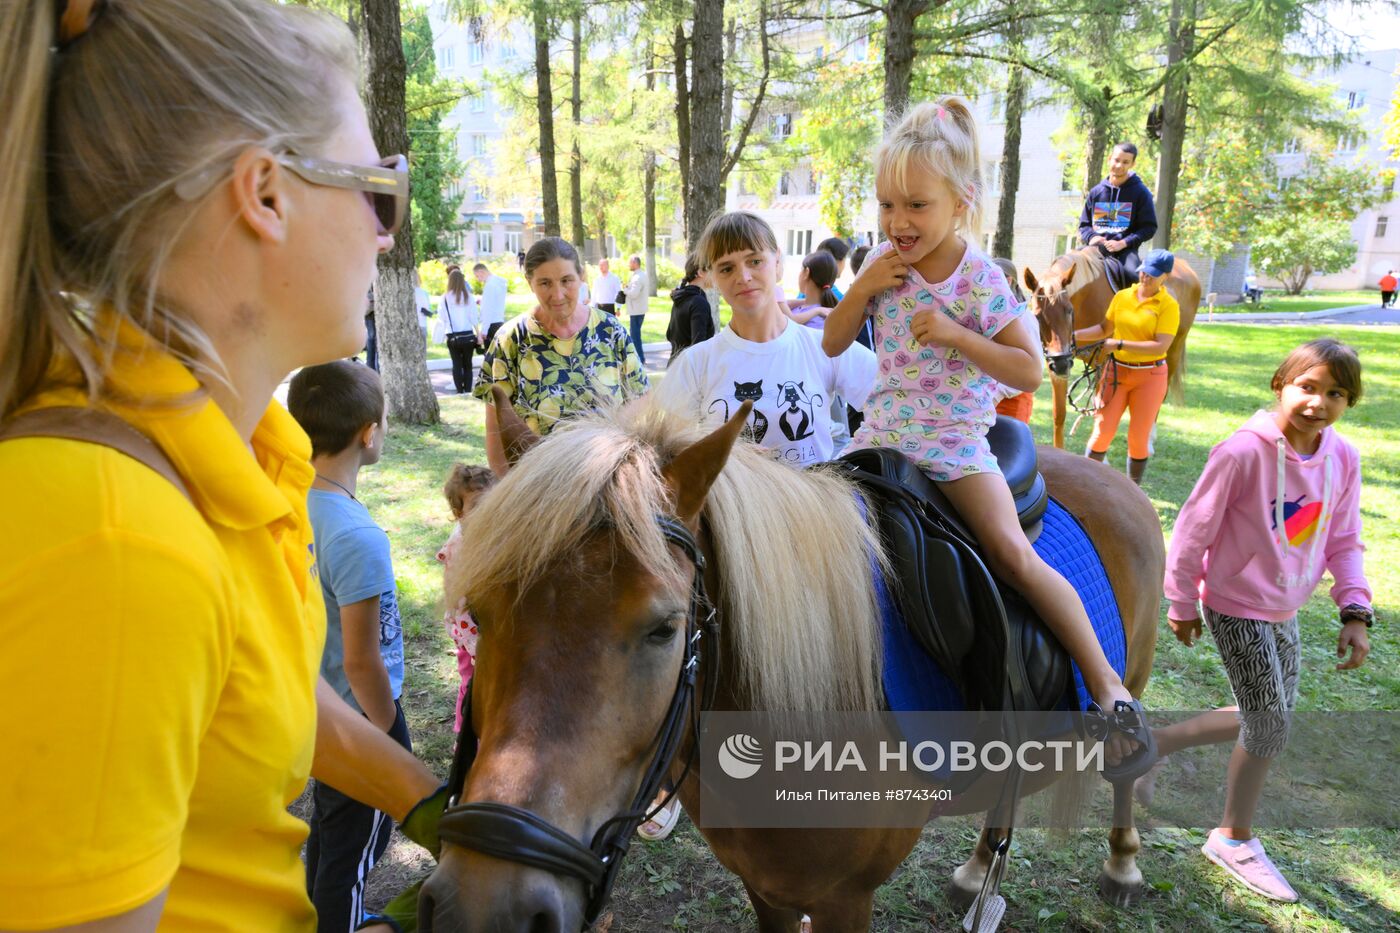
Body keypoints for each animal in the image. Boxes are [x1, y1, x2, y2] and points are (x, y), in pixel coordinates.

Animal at [420, 389, 1164, 924]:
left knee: (1128, 767)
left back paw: (1124, 863)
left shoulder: (845, 899)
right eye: (477, 613)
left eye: (665, 628)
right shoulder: (768, 886)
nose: (486, 906)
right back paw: (982, 869)